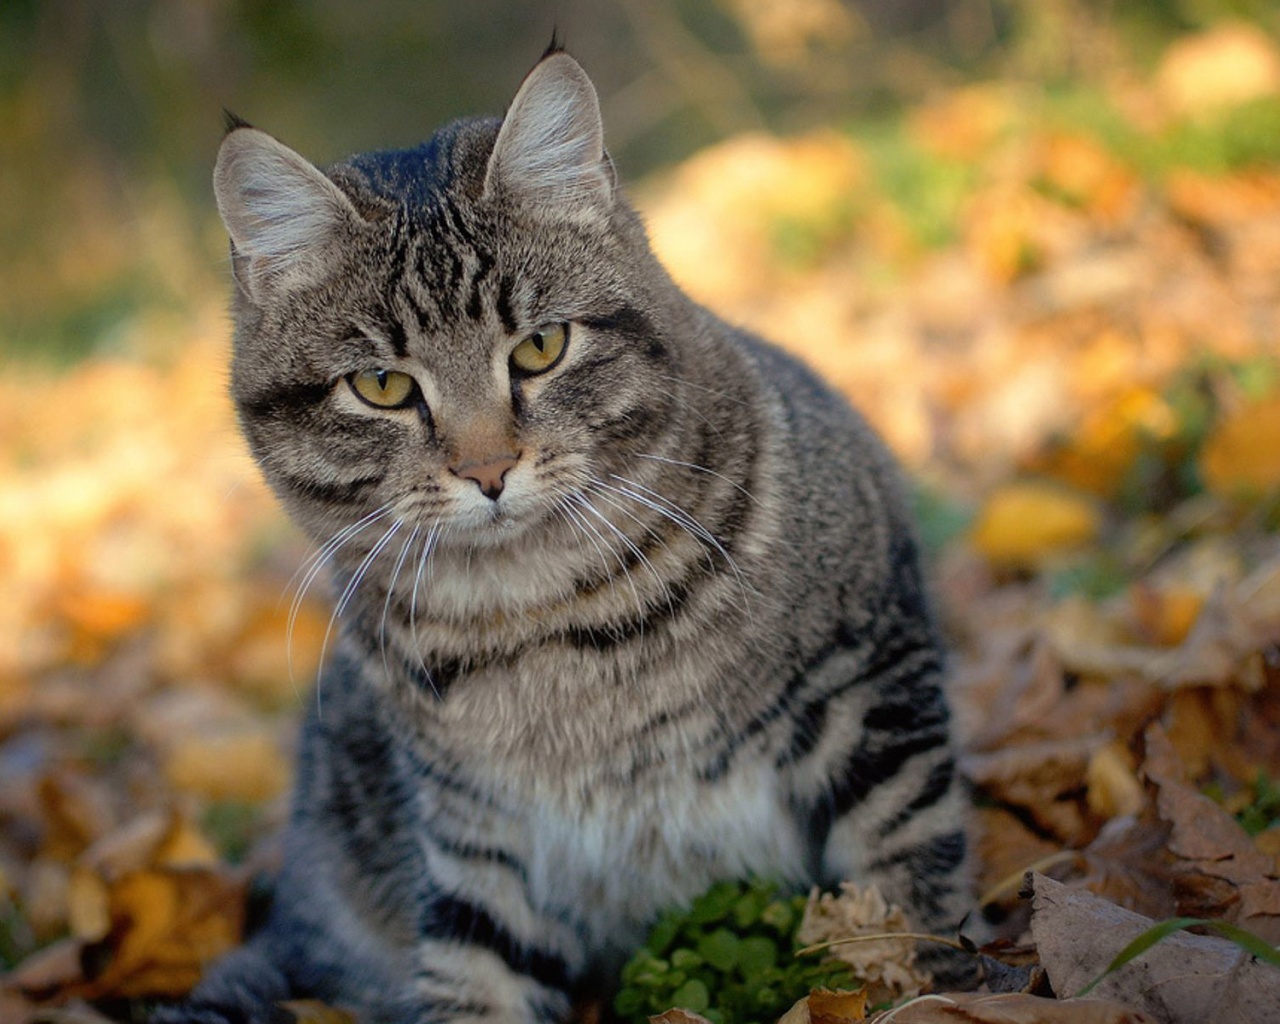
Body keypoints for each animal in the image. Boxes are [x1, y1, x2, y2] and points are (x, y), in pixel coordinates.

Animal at [165, 48, 972, 1024]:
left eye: (541, 347)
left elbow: (905, 896)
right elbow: (478, 984)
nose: (487, 469)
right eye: (382, 387)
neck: (544, 616)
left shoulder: (873, 686)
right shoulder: (476, 840)